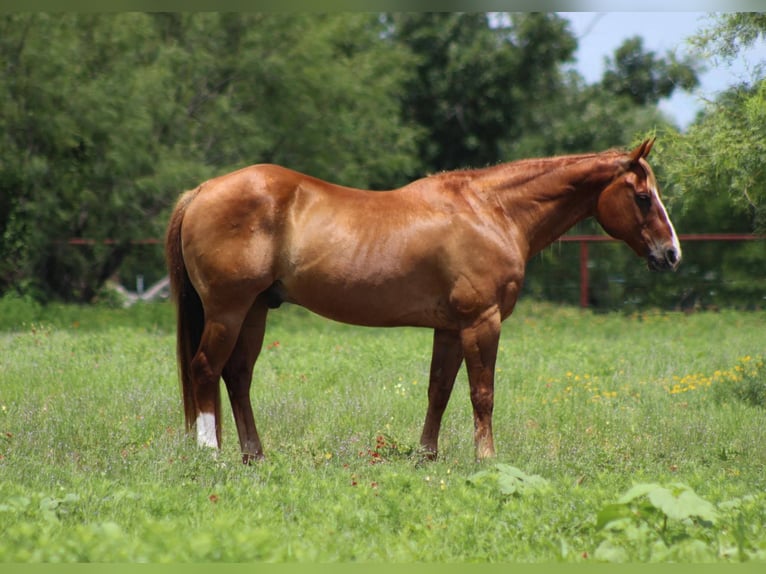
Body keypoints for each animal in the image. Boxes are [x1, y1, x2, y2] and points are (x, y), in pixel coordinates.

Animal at [165, 139, 681, 464]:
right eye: (642, 196)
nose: (671, 253)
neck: (491, 212)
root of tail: (200, 192)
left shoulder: (450, 327)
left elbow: (439, 391)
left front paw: (426, 456)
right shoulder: (482, 322)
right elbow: (482, 393)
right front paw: (486, 458)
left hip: (254, 310)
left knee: (237, 376)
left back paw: (254, 455)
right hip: (228, 311)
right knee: (206, 369)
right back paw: (211, 454)